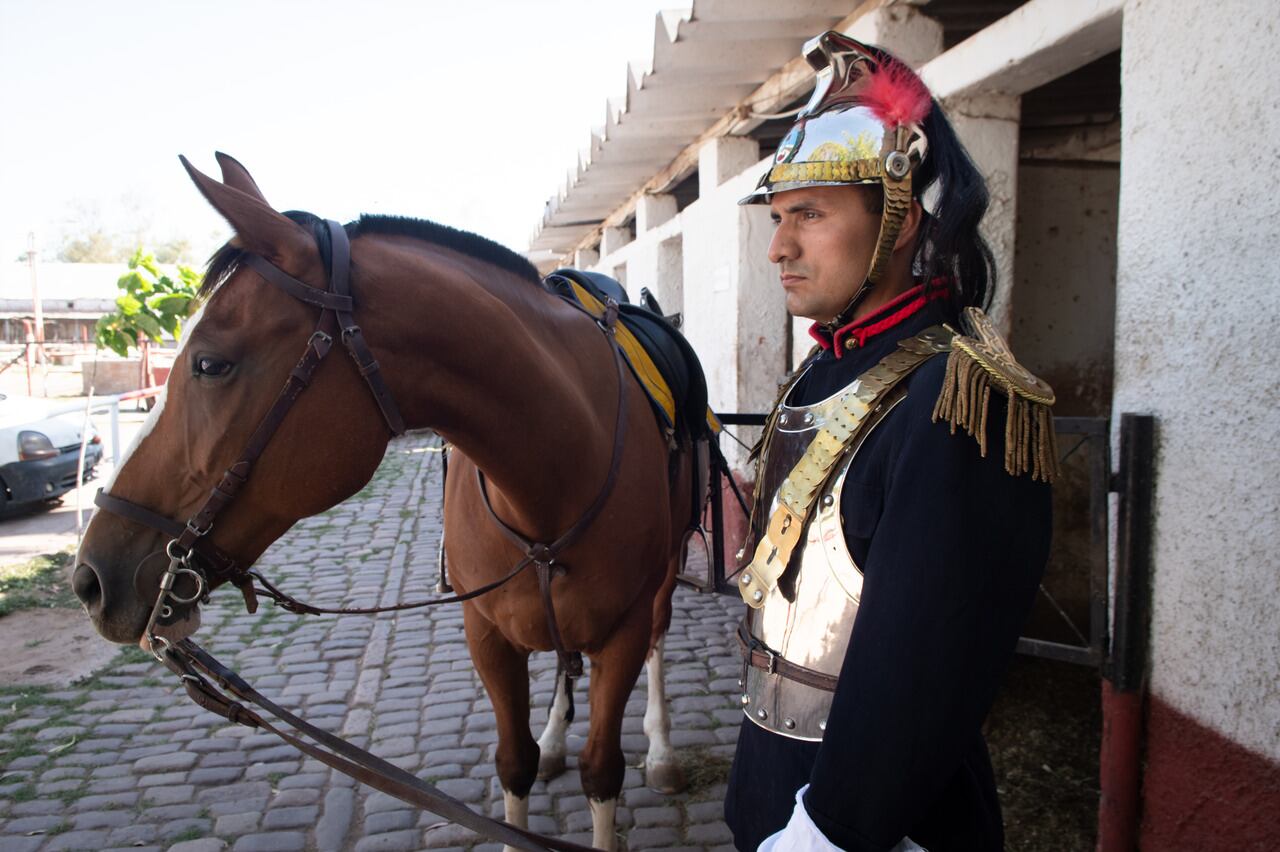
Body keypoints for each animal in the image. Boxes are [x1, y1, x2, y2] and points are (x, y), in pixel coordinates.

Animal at [74, 154, 696, 849]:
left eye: (210, 364)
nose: (91, 577)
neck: (551, 480)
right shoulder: (487, 636)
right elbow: (515, 762)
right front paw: (543, 752)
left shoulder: (622, 631)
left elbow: (603, 771)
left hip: (665, 579)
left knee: (658, 642)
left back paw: (662, 750)